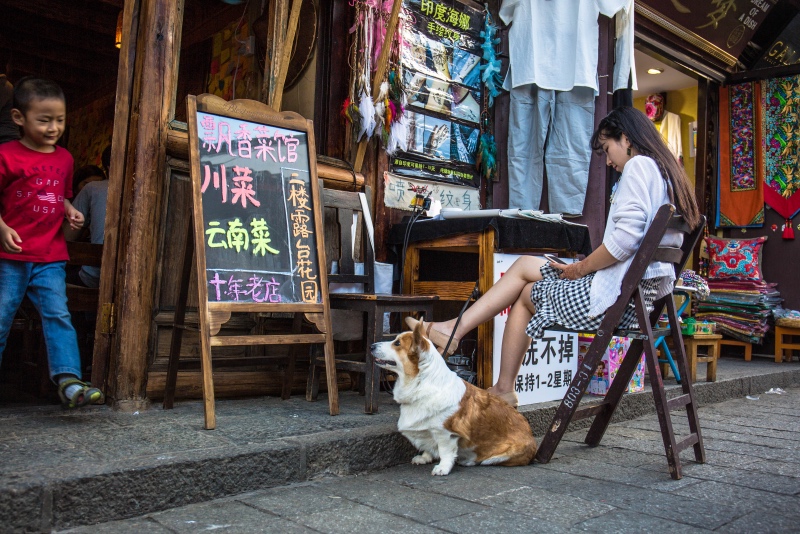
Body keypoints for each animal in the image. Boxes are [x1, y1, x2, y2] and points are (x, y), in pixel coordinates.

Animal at [374, 322, 536, 478]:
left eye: (397, 343)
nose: (371, 346)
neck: (421, 383)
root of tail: (532, 438)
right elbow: (428, 447)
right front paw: (424, 457)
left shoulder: (446, 434)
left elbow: (445, 452)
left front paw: (442, 468)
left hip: (501, 455)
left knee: (486, 460)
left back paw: (468, 461)